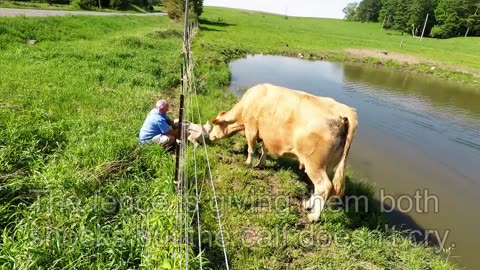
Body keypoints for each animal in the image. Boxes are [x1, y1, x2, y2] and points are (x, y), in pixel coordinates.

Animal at [210, 83, 356, 223]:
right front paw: (260, 164)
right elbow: (264, 149)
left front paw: (248, 163)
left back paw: (313, 216)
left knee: (324, 186)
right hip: (328, 164)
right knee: (319, 187)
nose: (210, 136)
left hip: (315, 164)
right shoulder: (265, 134)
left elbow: (251, 149)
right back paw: (308, 204)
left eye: (216, 125)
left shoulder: (251, 129)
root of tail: (344, 111)